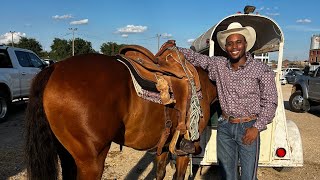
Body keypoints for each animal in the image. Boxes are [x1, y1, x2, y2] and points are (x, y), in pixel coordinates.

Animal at [23, 46, 216, 179]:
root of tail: (54, 68)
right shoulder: (184, 151)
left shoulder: (164, 145)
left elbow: (160, 172)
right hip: (92, 161)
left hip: (66, 155)